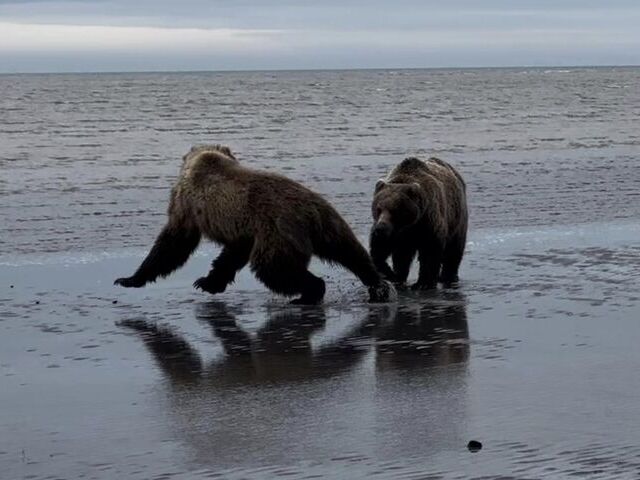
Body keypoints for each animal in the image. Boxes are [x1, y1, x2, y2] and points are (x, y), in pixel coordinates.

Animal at [115, 144, 396, 306]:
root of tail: (309, 212)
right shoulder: (244, 228)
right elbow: (230, 255)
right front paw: (209, 282)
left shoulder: (188, 207)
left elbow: (173, 243)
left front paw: (128, 278)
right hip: (328, 222)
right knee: (351, 252)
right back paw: (378, 285)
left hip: (278, 231)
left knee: (273, 268)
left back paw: (309, 293)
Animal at [368, 157, 468, 288]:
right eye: (378, 208)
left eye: (395, 210)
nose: (381, 228)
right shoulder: (394, 233)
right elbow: (379, 251)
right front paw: (391, 274)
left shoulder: (428, 222)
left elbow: (430, 251)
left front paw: (424, 283)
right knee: (402, 256)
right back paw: (400, 277)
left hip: (457, 219)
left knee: (454, 250)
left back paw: (448, 277)